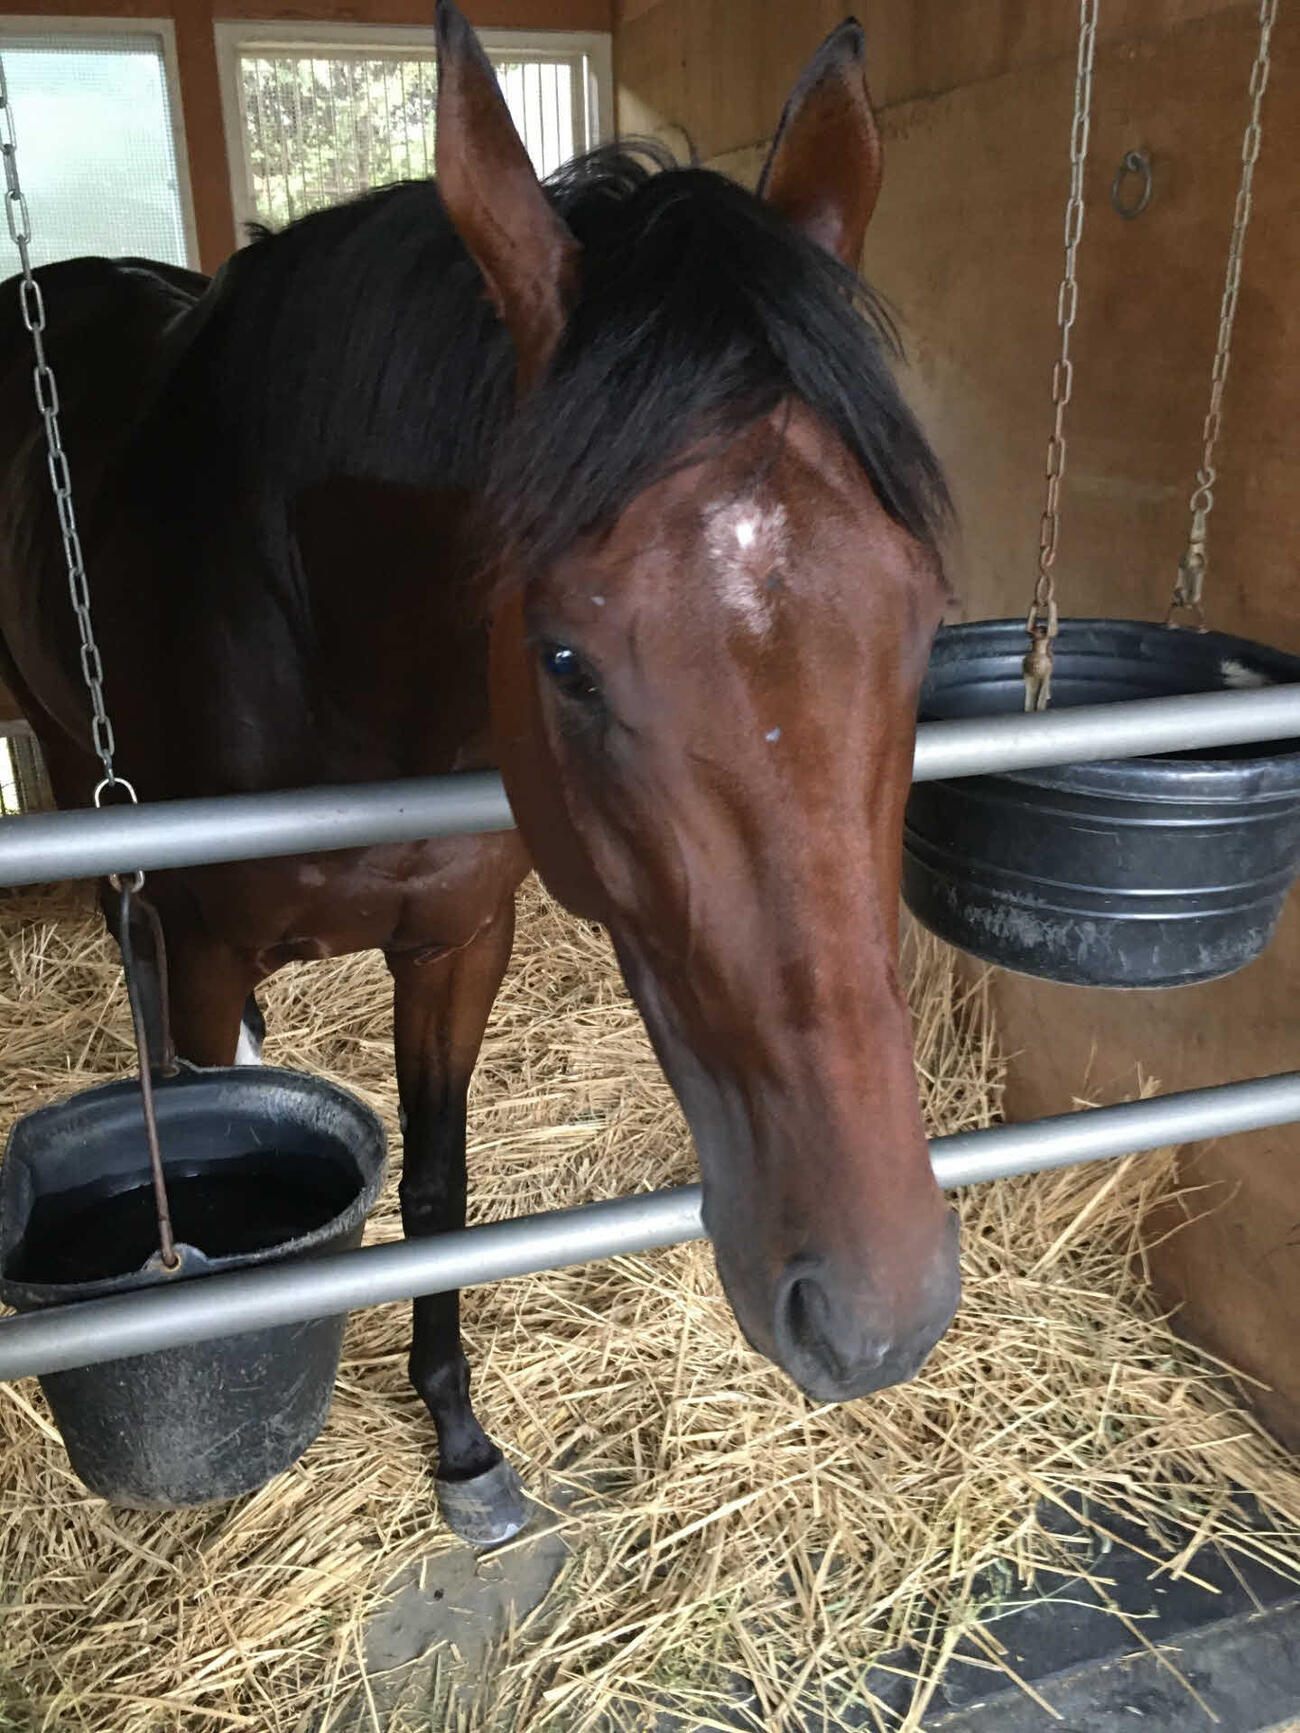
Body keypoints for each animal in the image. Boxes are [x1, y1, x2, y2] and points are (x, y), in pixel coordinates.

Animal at [0, 3, 959, 1544]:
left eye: (923, 616)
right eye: (565, 657)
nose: (876, 1309)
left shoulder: (459, 940)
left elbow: (440, 1194)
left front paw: (457, 1436)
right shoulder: (207, 952)